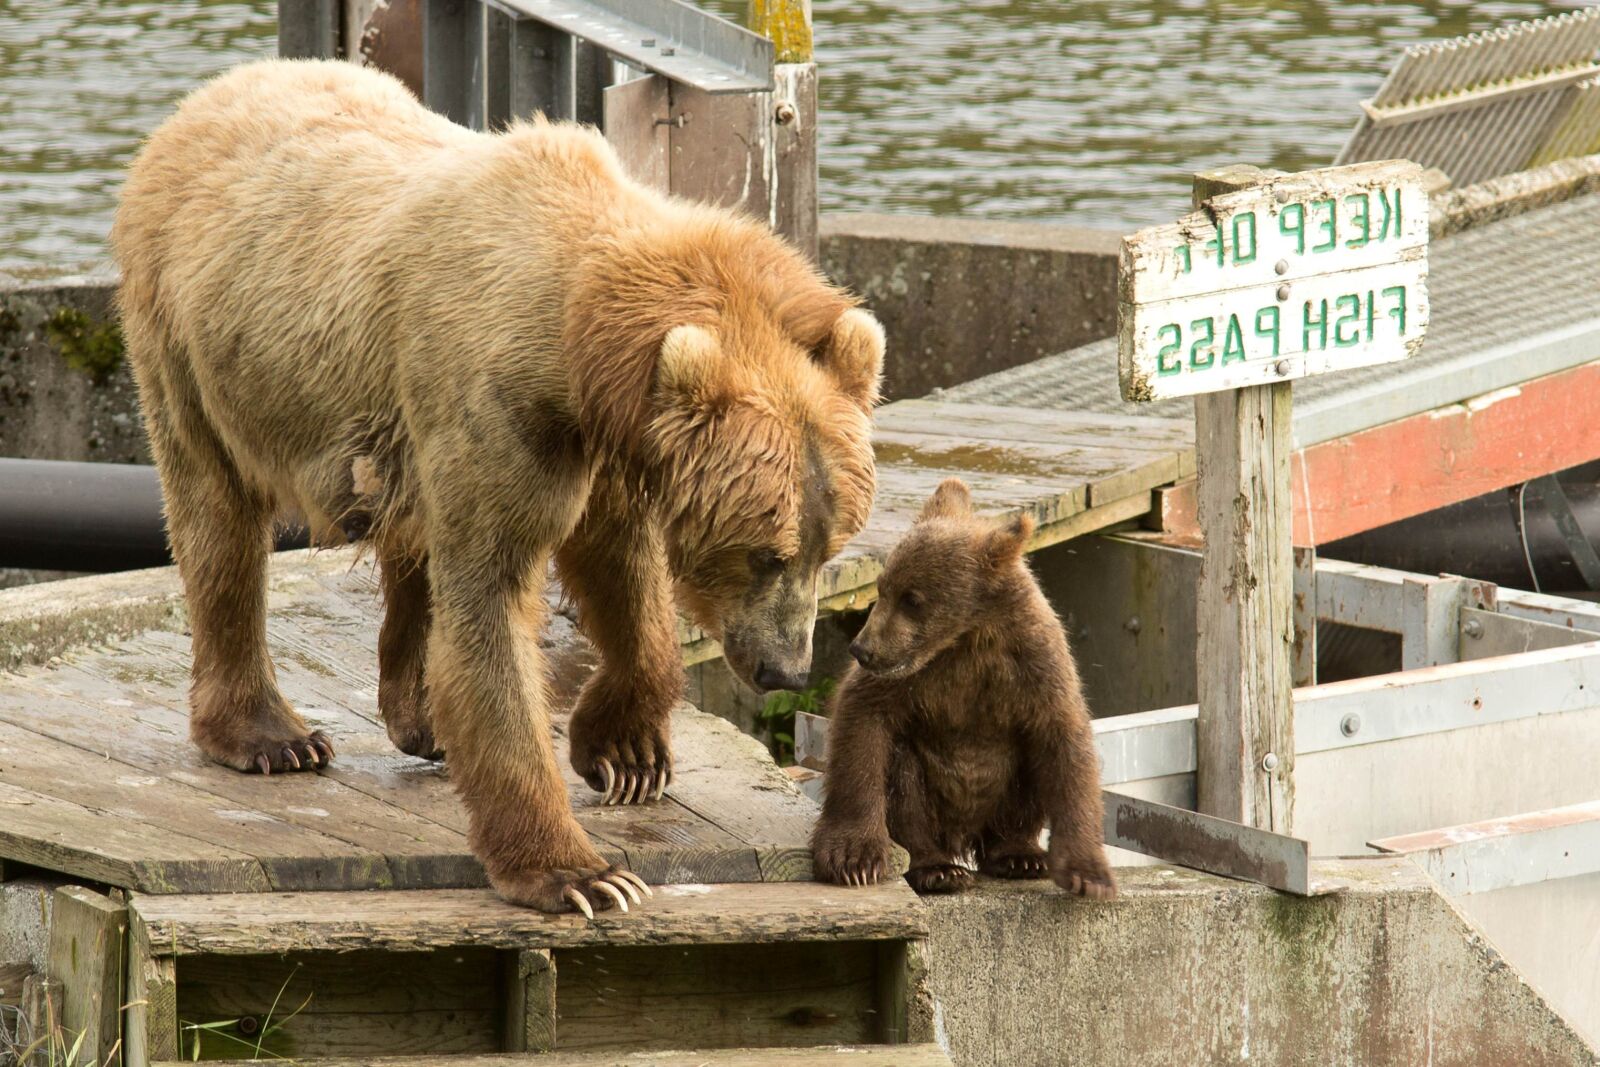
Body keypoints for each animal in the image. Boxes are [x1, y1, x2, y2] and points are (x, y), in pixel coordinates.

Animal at [110, 59, 883, 916]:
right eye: (765, 550)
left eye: (827, 544)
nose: (788, 668)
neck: (578, 347)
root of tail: (204, 98)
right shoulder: (498, 403)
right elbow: (493, 603)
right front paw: (585, 875)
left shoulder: (604, 448)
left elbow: (623, 578)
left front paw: (627, 752)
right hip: (192, 348)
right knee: (220, 526)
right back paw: (271, 733)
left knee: (407, 532)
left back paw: (416, 709)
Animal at [810, 478, 1115, 899]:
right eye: (883, 588)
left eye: (912, 598)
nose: (862, 649)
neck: (969, 636)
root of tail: (961, 834)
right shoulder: (913, 677)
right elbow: (861, 726)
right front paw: (854, 859)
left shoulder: (1033, 666)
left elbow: (1066, 744)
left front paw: (1090, 876)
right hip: (930, 788)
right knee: (904, 780)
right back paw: (939, 869)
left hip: (1006, 786)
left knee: (1026, 777)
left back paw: (1019, 856)